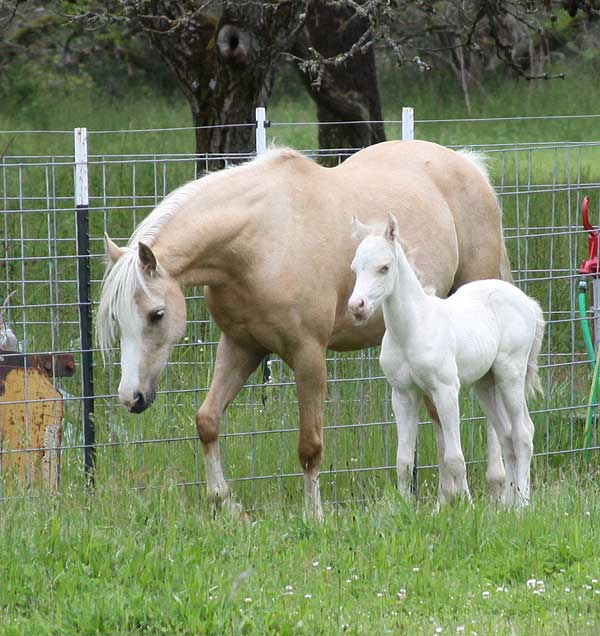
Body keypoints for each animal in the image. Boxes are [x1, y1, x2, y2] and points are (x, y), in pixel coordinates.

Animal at [97, 140, 510, 520]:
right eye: (118, 319)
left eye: (157, 314)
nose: (131, 397)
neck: (258, 241)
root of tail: (467, 164)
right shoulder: (240, 346)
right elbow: (207, 421)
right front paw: (225, 503)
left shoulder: (308, 355)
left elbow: (310, 446)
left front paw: (315, 516)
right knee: (440, 417)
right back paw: (447, 498)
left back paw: (497, 488)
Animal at [346, 216, 544, 510]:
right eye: (355, 268)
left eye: (384, 268)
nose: (356, 306)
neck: (412, 329)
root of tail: (528, 302)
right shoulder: (403, 394)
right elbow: (404, 460)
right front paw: (405, 508)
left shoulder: (445, 390)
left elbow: (454, 457)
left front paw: (467, 507)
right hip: (486, 383)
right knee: (507, 435)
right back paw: (506, 505)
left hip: (510, 374)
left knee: (523, 434)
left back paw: (522, 504)